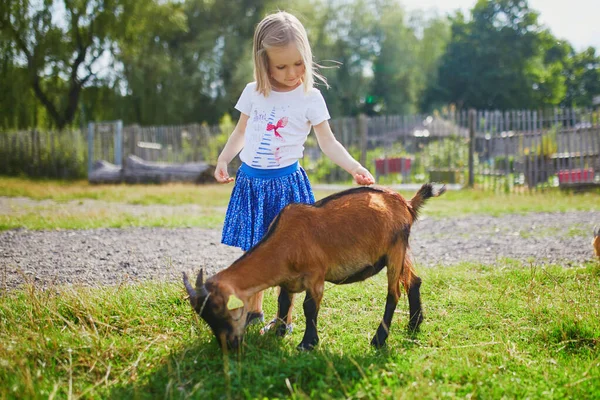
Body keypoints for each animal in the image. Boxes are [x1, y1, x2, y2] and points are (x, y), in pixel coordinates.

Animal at [183, 183, 446, 348]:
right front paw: (278, 333)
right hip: (401, 250)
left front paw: (307, 343)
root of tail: (406, 203)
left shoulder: (316, 276)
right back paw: (414, 325)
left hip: (395, 250)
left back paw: (379, 340)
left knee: (394, 294)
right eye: (204, 316)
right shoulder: (288, 281)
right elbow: (283, 302)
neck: (285, 242)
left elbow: (309, 308)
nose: (229, 344)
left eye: (220, 310)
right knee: (414, 281)